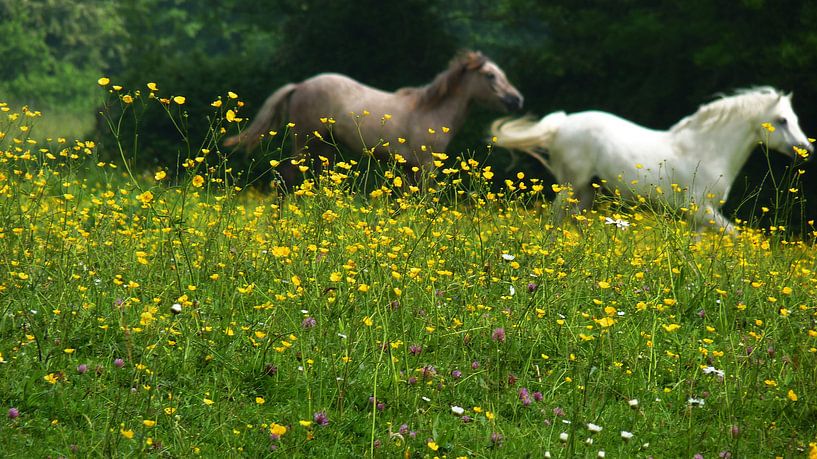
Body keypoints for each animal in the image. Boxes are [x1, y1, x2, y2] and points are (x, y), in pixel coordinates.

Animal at [224, 51, 523, 186]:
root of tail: (299, 85)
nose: (516, 100)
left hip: (322, 148)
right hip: (306, 143)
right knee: (288, 176)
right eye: (490, 76)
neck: (431, 110)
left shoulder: (409, 168)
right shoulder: (426, 165)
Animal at [490, 87, 813, 234]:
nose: (805, 149)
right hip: (572, 185)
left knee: (572, 220)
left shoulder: (700, 219)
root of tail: (562, 123)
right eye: (782, 120)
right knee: (556, 218)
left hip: (586, 192)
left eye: (795, 118)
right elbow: (735, 237)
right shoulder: (701, 211)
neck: (706, 149)